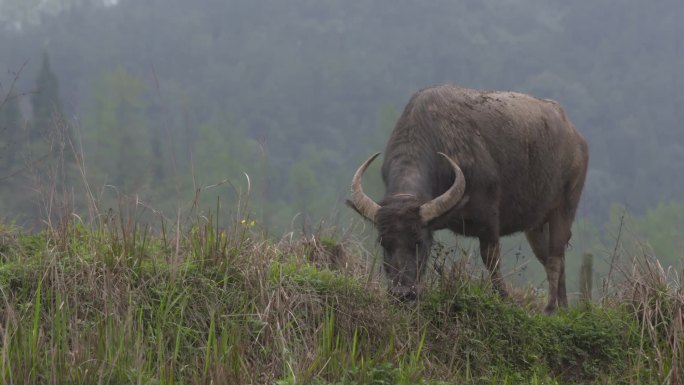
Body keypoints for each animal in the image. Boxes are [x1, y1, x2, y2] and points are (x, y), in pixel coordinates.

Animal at [348, 84, 588, 312]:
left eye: (419, 242)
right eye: (383, 243)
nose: (402, 294)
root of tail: (576, 138)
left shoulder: (489, 221)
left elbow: (491, 260)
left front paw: (503, 297)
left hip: (565, 206)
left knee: (556, 257)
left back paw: (551, 308)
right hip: (536, 226)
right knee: (549, 258)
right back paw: (564, 307)